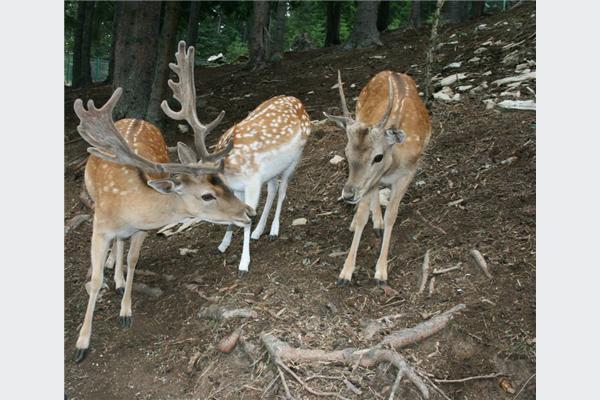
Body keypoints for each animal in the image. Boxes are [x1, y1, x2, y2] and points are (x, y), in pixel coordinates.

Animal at [71, 64, 253, 360]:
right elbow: (96, 280)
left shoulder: (142, 230)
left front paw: (125, 311)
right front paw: (82, 343)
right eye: (207, 195)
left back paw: (118, 277)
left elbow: (133, 260)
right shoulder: (99, 227)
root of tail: (135, 118)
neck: (129, 207)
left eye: (224, 183)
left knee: (122, 246)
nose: (249, 212)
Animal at [164, 41, 312, 276]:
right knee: (273, 188)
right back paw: (260, 231)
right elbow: (236, 213)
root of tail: (298, 101)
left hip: (296, 157)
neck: (229, 171)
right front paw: (223, 244)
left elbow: (246, 219)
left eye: (203, 192)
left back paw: (274, 230)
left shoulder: (251, 182)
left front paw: (244, 264)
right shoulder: (239, 188)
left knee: (283, 189)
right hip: (270, 171)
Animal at [324, 70, 432, 286]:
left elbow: (392, 215)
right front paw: (345, 273)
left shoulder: (408, 173)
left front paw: (381, 273)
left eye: (378, 156)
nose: (347, 195)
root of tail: (391, 72)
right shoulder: (369, 181)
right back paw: (372, 221)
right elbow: (361, 217)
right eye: (346, 152)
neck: (392, 164)